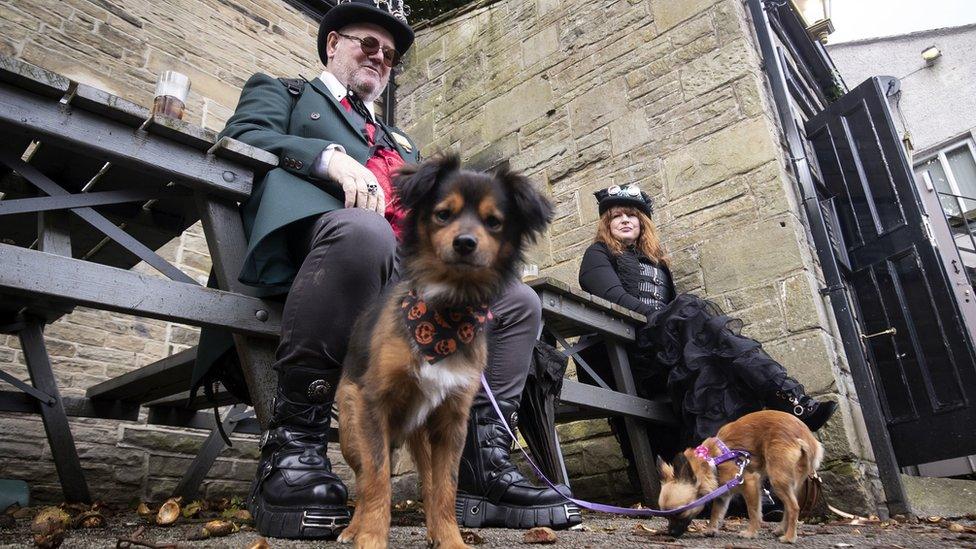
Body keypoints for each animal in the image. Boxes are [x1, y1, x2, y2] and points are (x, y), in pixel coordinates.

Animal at [336, 155, 552, 548]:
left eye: (493, 222)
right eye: (442, 214)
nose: (465, 243)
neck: (446, 312)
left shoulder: (453, 420)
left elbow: (446, 488)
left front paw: (451, 539)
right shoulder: (374, 404)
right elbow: (377, 481)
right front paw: (371, 537)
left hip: (422, 436)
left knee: (428, 482)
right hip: (351, 427)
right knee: (362, 476)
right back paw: (352, 528)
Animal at [656, 408, 824, 540]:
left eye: (679, 513)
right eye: (666, 516)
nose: (670, 534)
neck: (712, 461)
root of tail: (806, 437)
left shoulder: (750, 483)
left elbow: (753, 511)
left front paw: (751, 533)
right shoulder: (723, 494)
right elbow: (716, 512)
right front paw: (711, 529)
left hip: (777, 480)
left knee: (794, 507)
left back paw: (789, 537)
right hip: (790, 481)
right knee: (789, 507)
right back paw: (781, 530)